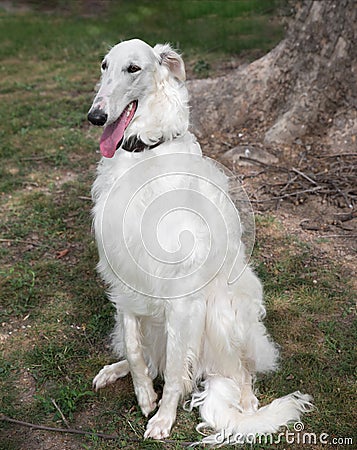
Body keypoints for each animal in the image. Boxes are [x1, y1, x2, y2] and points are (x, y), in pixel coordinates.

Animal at [87, 37, 312, 442]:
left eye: (133, 68)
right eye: (104, 65)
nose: (95, 116)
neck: (144, 154)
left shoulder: (182, 294)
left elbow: (177, 372)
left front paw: (163, 417)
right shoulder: (122, 279)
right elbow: (135, 350)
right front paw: (145, 396)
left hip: (223, 312)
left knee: (237, 370)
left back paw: (247, 401)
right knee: (150, 358)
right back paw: (115, 370)